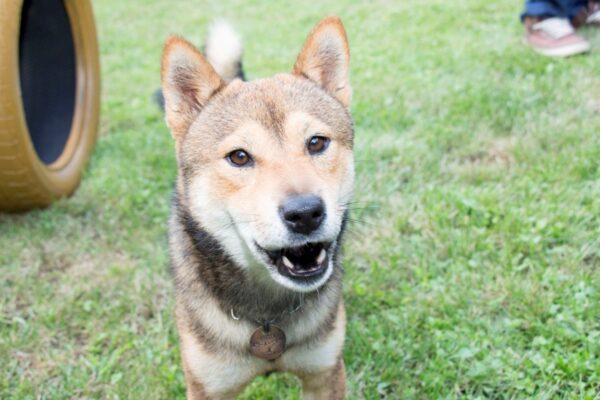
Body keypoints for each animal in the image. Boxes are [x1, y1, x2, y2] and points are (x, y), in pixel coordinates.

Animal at [162, 16, 354, 400]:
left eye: (317, 142)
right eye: (239, 157)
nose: (305, 213)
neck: (267, 315)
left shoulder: (325, 373)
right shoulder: (208, 387)